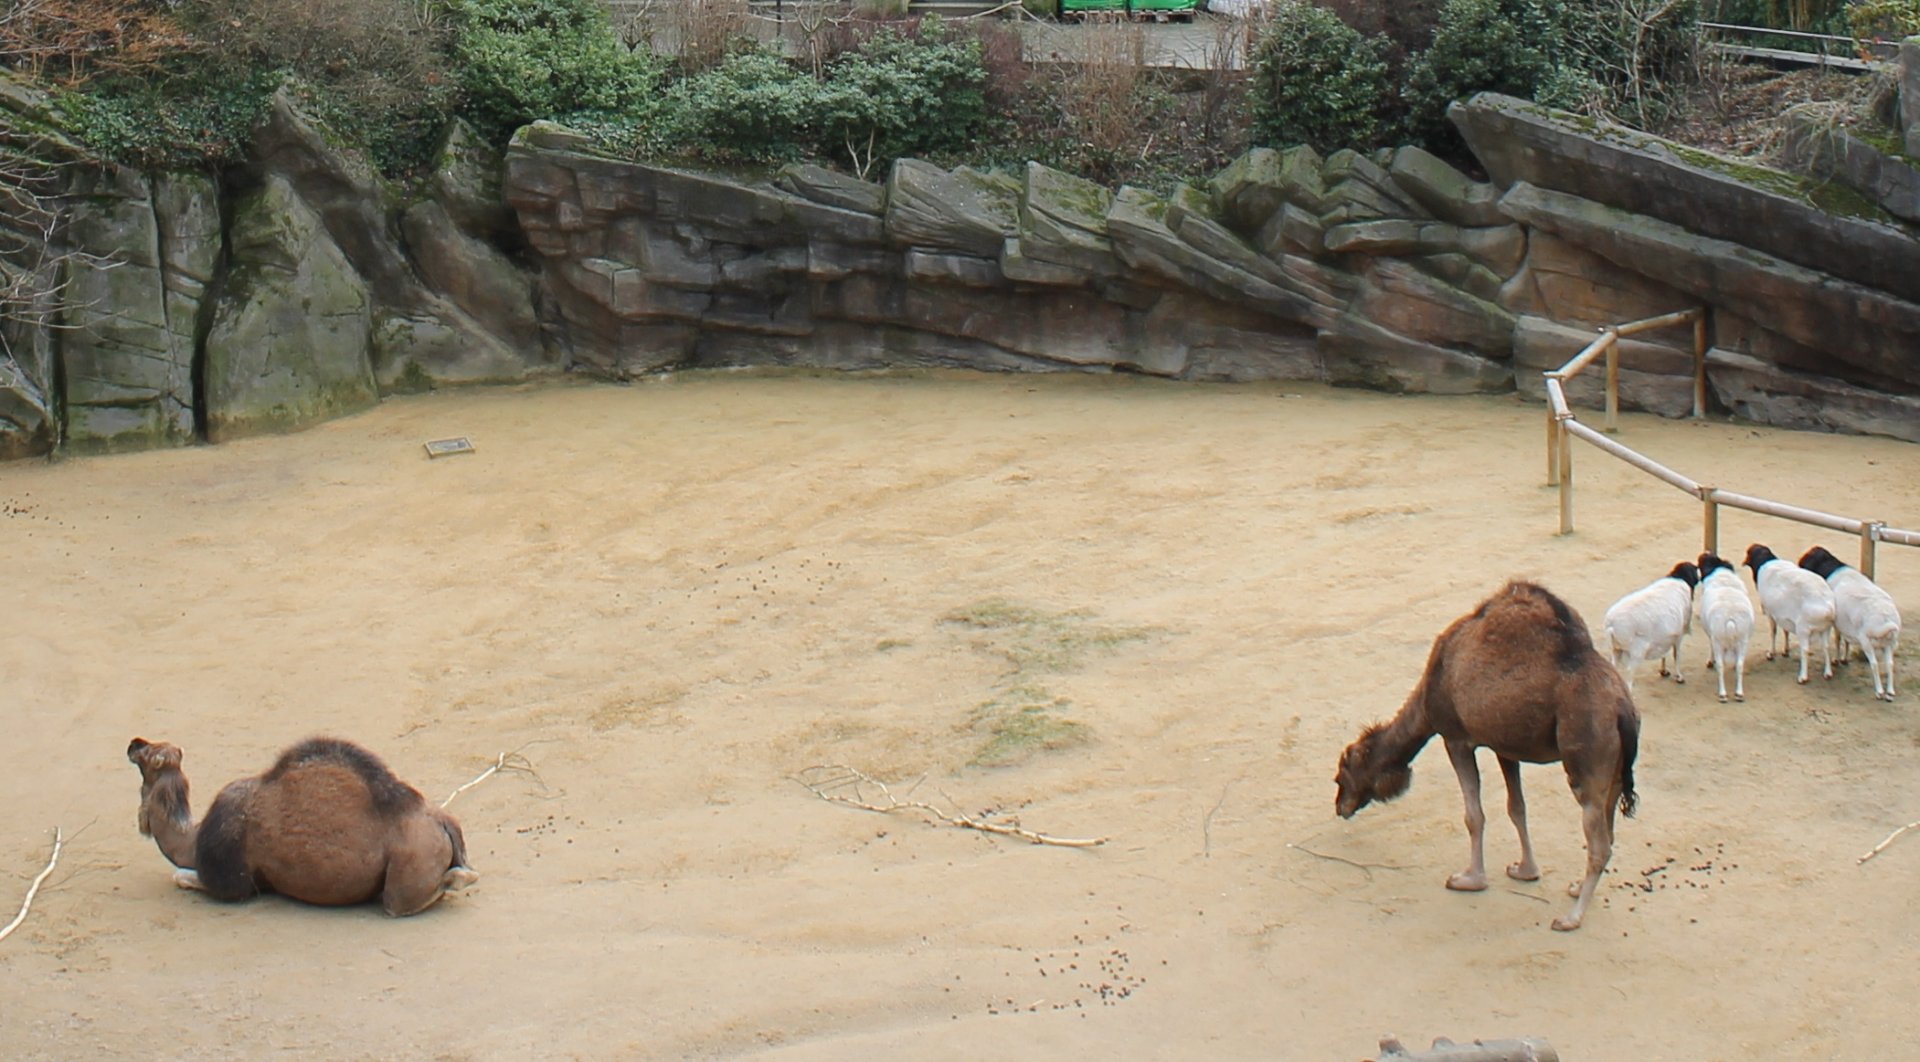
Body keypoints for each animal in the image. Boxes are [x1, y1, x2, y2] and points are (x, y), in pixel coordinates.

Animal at [1603, 561, 1701, 691]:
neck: (1678, 579)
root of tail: (1612, 624)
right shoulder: (1678, 635)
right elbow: (1676, 655)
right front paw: (1679, 677)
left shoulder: (1665, 636)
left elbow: (1665, 653)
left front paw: (1664, 671)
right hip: (1636, 653)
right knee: (1629, 675)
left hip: (1616, 649)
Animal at [1696, 552, 1756, 703]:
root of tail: (1730, 617)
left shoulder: (1712, 637)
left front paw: (1710, 662)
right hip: (1743, 641)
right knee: (1740, 665)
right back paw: (1739, 693)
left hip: (1719, 641)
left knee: (1721, 666)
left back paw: (1722, 694)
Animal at [1742, 544, 1836, 684]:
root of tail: (1828, 607)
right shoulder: (1782, 615)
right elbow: (1785, 631)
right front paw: (1785, 651)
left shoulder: (1770, 613)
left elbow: (1773, 631)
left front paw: (1771, 653)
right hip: (1826, 628)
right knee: (1826, 647)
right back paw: (1828, 673)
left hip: (1803, 629)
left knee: (1805, 650)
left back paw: (1803, 677)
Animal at [1799, 546, 1901, 701]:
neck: (1833, 568)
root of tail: (1886, 618)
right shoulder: (1846, 624)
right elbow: (1846, 640)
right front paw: (1843, 659)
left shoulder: (1836, 623)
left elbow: (1838, 639)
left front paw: (1837, 659)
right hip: (1888, 644)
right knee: (1890, 664)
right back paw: (1890, 691)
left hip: (1867, 642)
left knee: (1874, 664)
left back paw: (1879, 691)